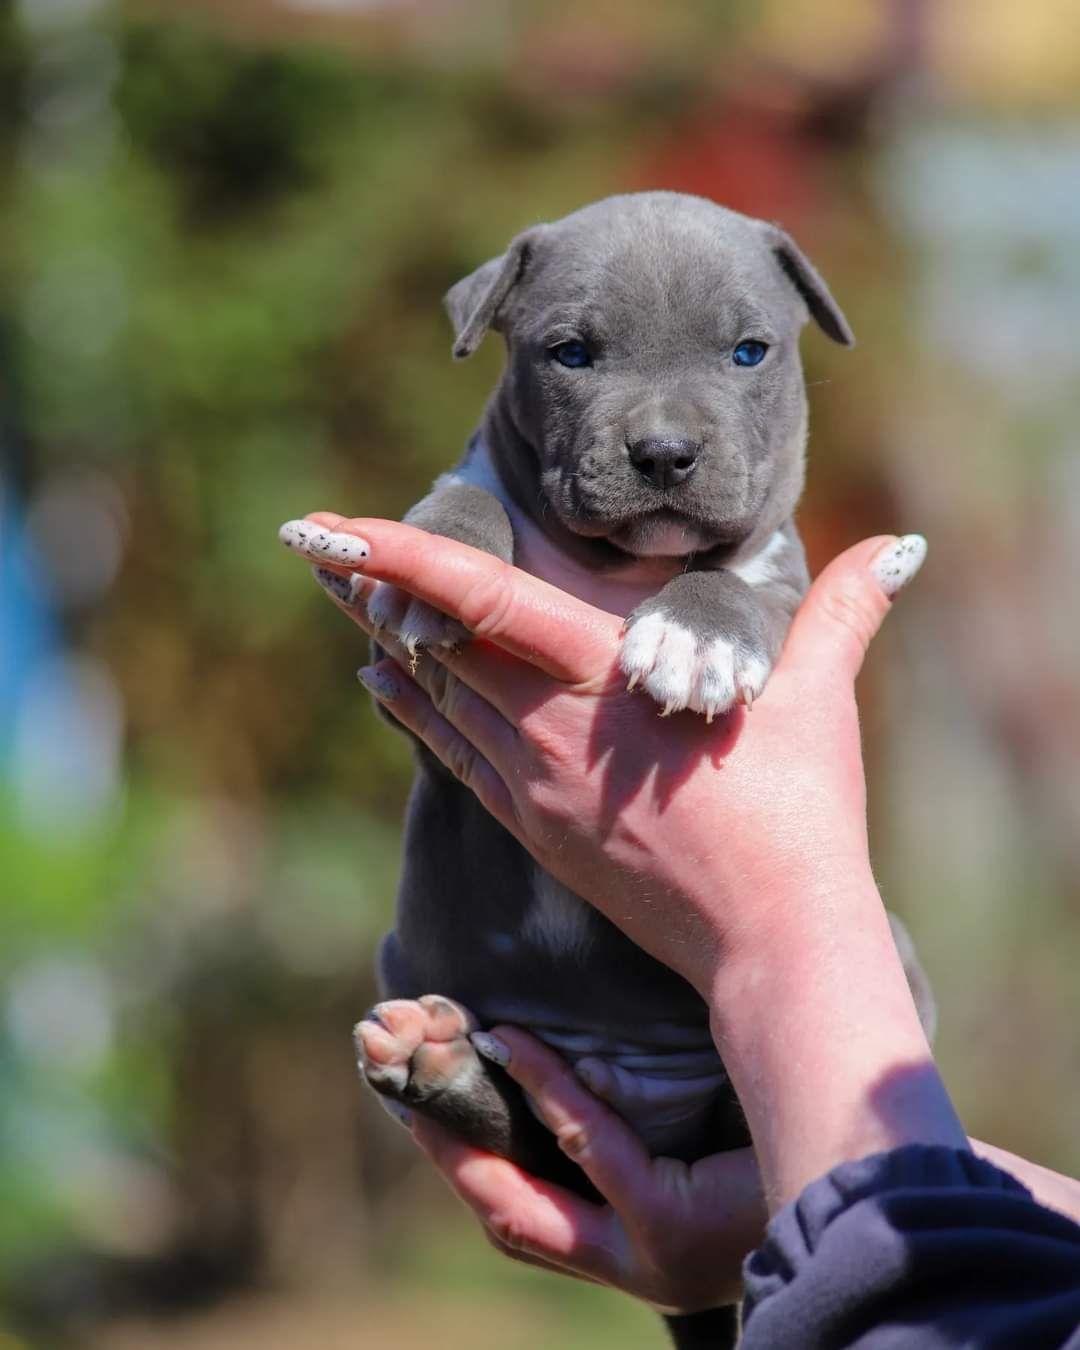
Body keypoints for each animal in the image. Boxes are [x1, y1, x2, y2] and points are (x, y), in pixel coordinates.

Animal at [325, 193, 934, 1350]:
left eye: (750, 352)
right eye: (571, 353)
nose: (663, 452)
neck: (619, 570)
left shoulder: (782, 585)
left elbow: (733, 586)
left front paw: (695, 635)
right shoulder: (408, 695)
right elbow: (460, 503)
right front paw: (440, 561)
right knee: (536, 1137)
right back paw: (441, 1065)